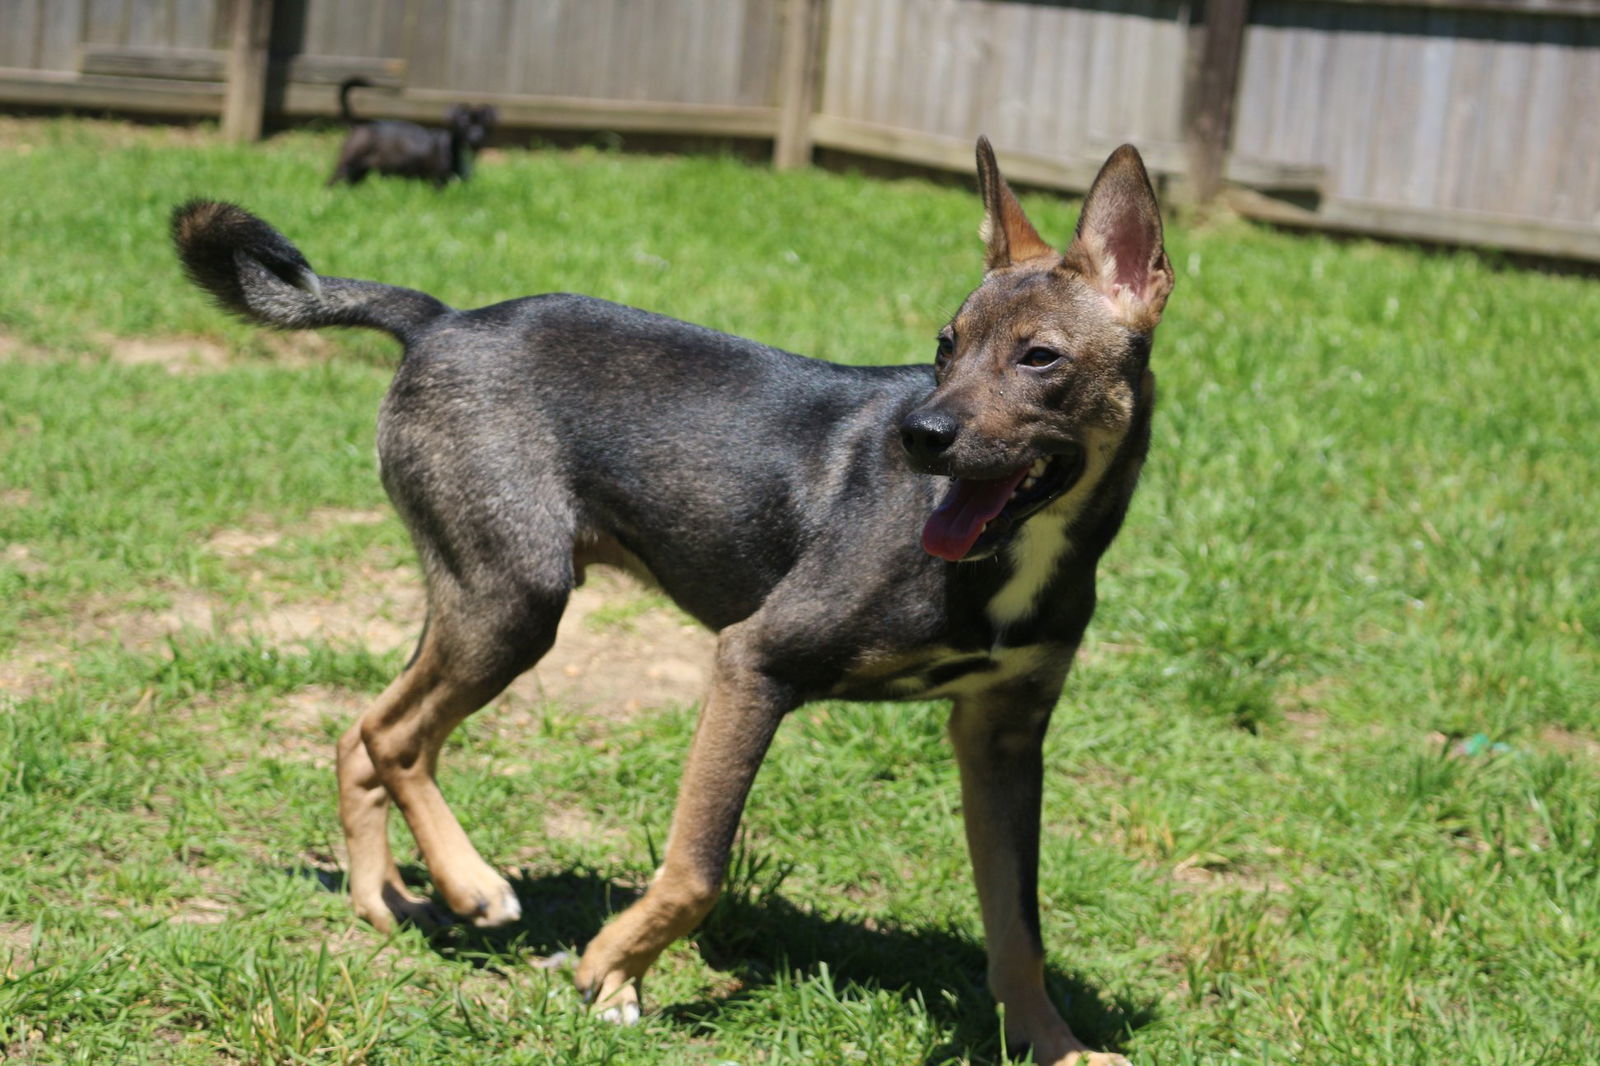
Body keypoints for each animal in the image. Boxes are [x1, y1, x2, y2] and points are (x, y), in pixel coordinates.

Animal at [168, 140, 1177, 1062]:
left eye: (1040, 358)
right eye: (945, 348)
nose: (918, 435)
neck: (1013, 556)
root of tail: (440, 321)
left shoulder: (1003, 734)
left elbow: (1019, 926)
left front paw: (1055, 1046)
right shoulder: (753, 661)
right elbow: (698, 867)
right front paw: (611, 972)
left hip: (467, 596)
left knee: (362, 733)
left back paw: (387, 902)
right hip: (515, 602)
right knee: (392, 735)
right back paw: (471, 885)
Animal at [328, 76, 496, 186]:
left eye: (484, 124)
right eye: (464, 123)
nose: (476, 136)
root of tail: (361, 124)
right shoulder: (438, 183)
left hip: (359, 172)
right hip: (347, 165)